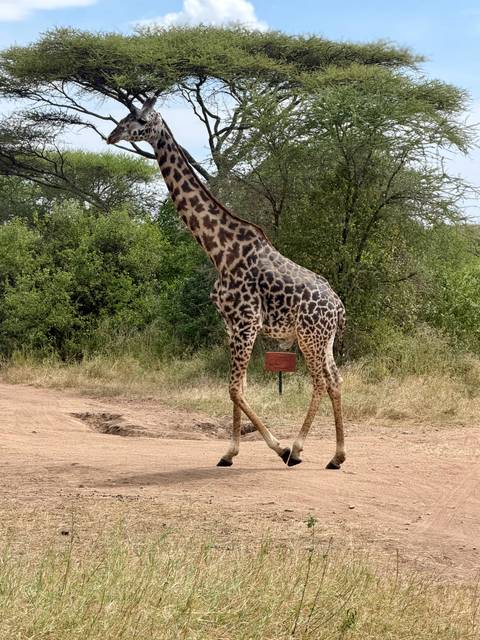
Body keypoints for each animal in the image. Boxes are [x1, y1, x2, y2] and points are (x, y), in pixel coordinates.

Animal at [106, 97, 346, 469]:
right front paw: (229, 453)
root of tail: (337, 305)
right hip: (325, 339)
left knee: (320, 381)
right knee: (335, 380)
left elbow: (234, 389)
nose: (112, 135)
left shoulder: (247, 323)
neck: (217, 250)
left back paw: (297, 449)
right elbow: (239, 388)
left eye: (141, 119)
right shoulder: (231, 326)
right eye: (125, 116)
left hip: (310, 336)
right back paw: (337, 456)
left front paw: (278, 448)